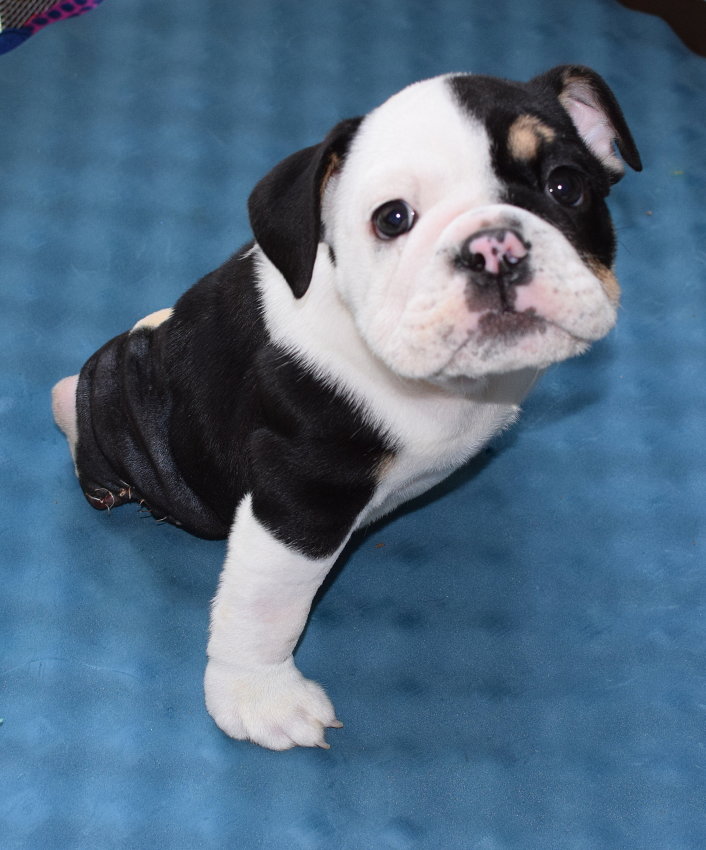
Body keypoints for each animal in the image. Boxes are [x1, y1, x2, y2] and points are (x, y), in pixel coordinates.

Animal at [52, 66, 641, 750]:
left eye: (566, 186)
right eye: (392, 218)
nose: (494, 247)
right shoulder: (301, 498)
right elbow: (267, 608)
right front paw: (261, 696)